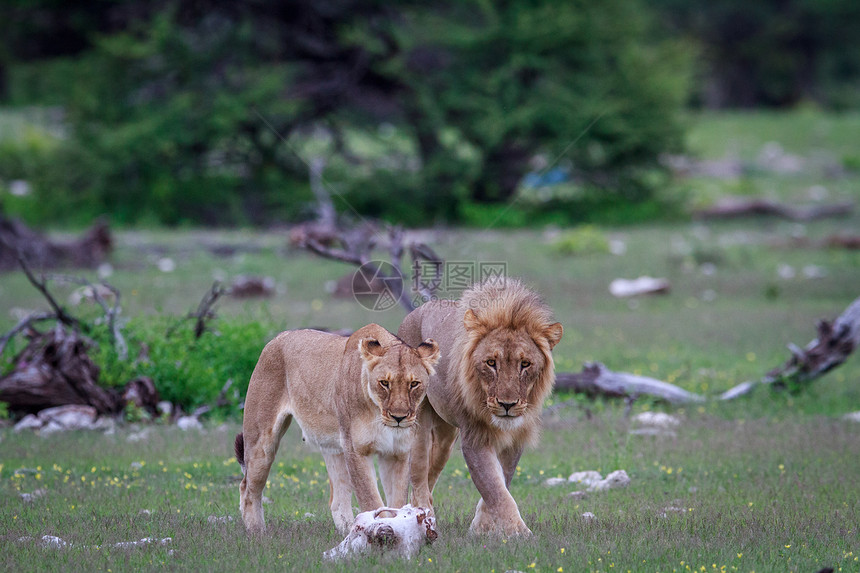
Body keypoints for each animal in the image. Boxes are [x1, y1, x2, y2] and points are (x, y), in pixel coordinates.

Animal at [233, 324, 436, 536]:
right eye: (384, 383)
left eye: (414, 384)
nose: (399, 417)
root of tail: (278, 338)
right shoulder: (355, 449)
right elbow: (371, 499)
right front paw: (379, 532)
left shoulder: (398, 453)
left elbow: (396, 501)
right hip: (261, 441)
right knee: (247, 487)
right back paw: (257, 532)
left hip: (334, 449)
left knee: (337, 500)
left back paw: (348, 530)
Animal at [398, 280, 564, 536]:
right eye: (491, 363)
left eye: (525, 364)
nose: (507, 404)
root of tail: (417, 310)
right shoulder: (474, 439)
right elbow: (495, 489)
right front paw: (520, 534)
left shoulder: (514, 440)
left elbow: (500, 482)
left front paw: (481, 529)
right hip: (419, 421)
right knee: (418, 473)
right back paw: (424, 514)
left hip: (446, 436)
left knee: (431, 472)